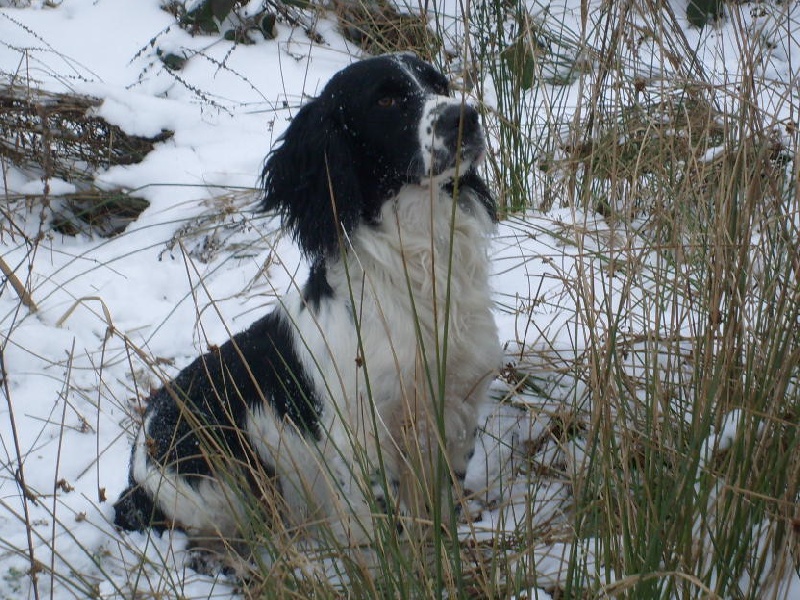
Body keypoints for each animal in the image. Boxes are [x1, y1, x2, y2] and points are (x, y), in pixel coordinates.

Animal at [114, 54, 500, 548]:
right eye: (386, 99)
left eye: (440, 85)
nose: (465, 117)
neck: (417, 264)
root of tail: (138, 460)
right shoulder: (360, 433)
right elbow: (385, 529)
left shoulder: (456, 406)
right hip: (219, 484)